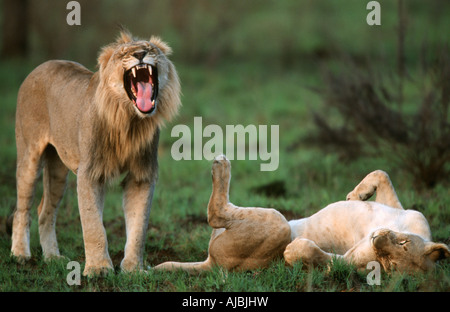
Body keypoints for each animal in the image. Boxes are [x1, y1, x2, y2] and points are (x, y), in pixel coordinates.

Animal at [12, 30, 181, 276]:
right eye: (123, 53)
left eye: (150, 49)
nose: (140, 54)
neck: (129, 121)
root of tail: (42, 65)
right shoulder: (89, 173)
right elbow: (93, 225)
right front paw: (99, 269)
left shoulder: (141, 176)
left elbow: (138, 227)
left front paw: (133, 269)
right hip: (29, 156)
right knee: (22, 209)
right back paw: (20, 255)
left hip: (57, 170)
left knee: (45, 210)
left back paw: (52, 257)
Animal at [154, 156, 446, 272]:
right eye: (403, 243)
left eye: (389, 264)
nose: (378, 241)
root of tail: (211, 264)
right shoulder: (406, 212)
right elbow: (382, 174)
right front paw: (356, 196)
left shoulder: (352, 262)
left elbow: (323, 258)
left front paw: (294, 252)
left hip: (277, 221)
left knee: (216, 213)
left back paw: (221, 166)